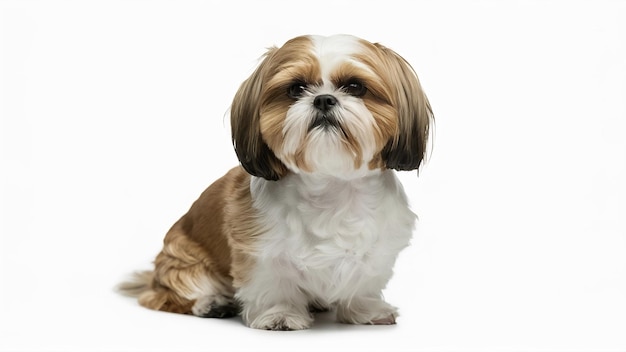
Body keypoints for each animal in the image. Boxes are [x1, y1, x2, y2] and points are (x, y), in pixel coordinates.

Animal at [119, 33, 432, 330]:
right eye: (296, 88)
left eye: (355, 87)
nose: (323, 99)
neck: (331, 186)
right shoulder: (259, 251)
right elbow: (273, 284)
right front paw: (279, 315)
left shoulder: (377, 247)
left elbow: (364, 280)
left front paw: (365, 311)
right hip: (182, 261)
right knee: (165, 296)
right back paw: (211, 303)